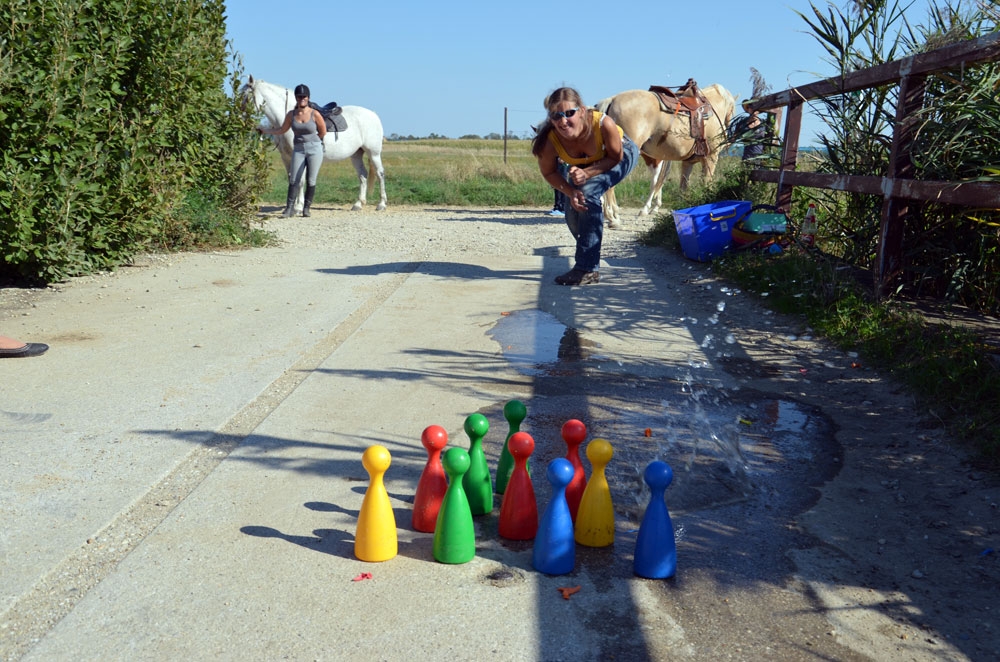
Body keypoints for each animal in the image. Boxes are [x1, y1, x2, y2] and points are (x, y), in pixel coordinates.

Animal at [242, 77, 386, 214]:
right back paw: (358, 204)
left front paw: (298, 208)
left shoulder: (300, 156)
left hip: (373, 153)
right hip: (356, 154)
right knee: (362, 175)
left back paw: (381, 204)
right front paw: (290, 208)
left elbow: (300, 181)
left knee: (380, 174)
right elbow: (292, 180)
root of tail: (373, 114)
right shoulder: (286, 157)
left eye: (246, 97)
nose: (242, 121)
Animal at [596, 84, 740, 226]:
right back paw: (613, 217)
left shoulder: (687, 162)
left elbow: (683, 189)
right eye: (732, 111)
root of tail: (612, 100)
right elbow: (706, 184)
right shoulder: (711, 158)